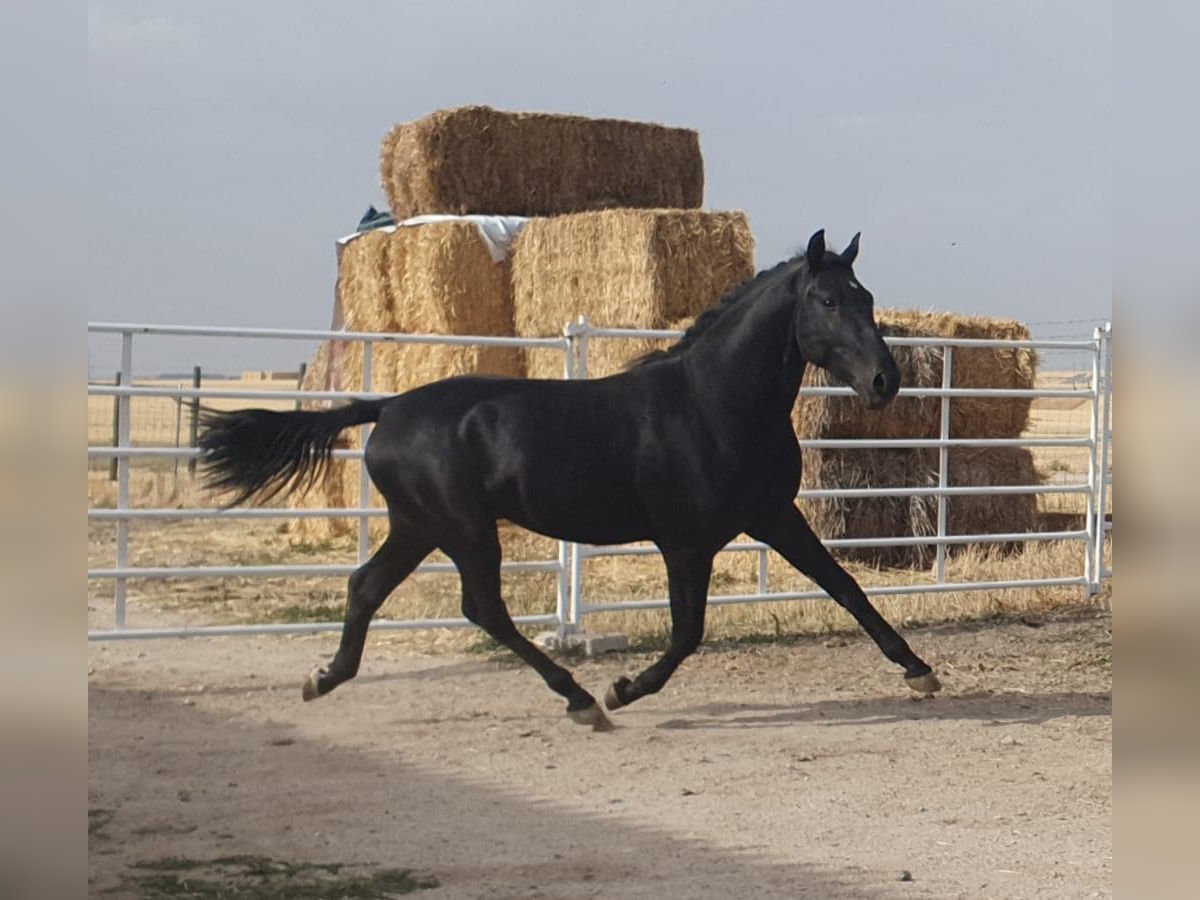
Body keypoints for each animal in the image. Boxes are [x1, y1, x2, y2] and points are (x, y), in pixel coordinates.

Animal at [201, 229, 940, 729]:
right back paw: (583, 700)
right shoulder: (685, 541)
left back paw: (324, 679)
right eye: (827, 299)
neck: (713, 403)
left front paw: (919, 670)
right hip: (464, 529)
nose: (885, 381)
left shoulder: (773, 515)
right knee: (482, 609)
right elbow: (687, 632)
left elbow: (845, 586)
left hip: (419, 525)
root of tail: (389, 407)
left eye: (866, 297)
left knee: (366, 587)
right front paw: (623, 688)